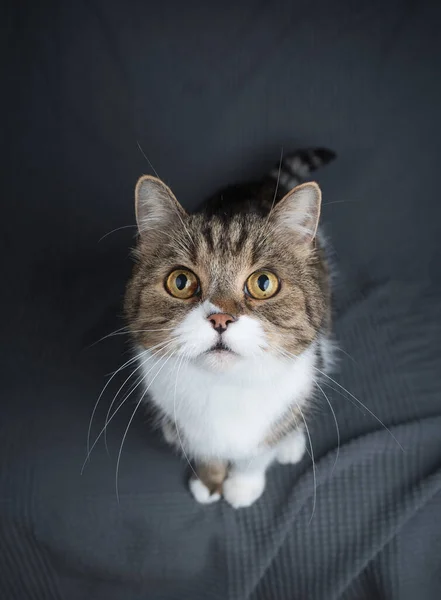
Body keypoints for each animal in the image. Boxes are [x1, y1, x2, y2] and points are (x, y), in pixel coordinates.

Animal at [125, 148, 336, 508]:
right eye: (181, 281)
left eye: (263, 283)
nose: (220, 319)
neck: (223, 388)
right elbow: (205, 451)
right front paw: (210, 481)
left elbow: (258, 453)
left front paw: (243, 486)